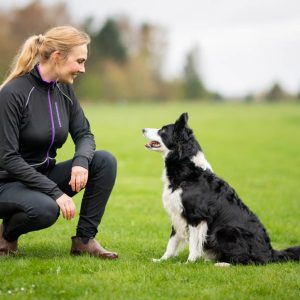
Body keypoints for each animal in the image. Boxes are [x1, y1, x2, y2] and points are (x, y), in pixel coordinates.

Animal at [143, 112, 300, 264]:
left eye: (163, 130)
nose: (142, 129)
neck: (188, 171)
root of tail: (270, 251)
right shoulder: (177, 213)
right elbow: (172, 242)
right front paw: (162, 260)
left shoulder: (196, 216)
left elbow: (193, 244)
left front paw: (189, 263)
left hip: (225, 231)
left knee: (249, 261)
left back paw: (222, 264)